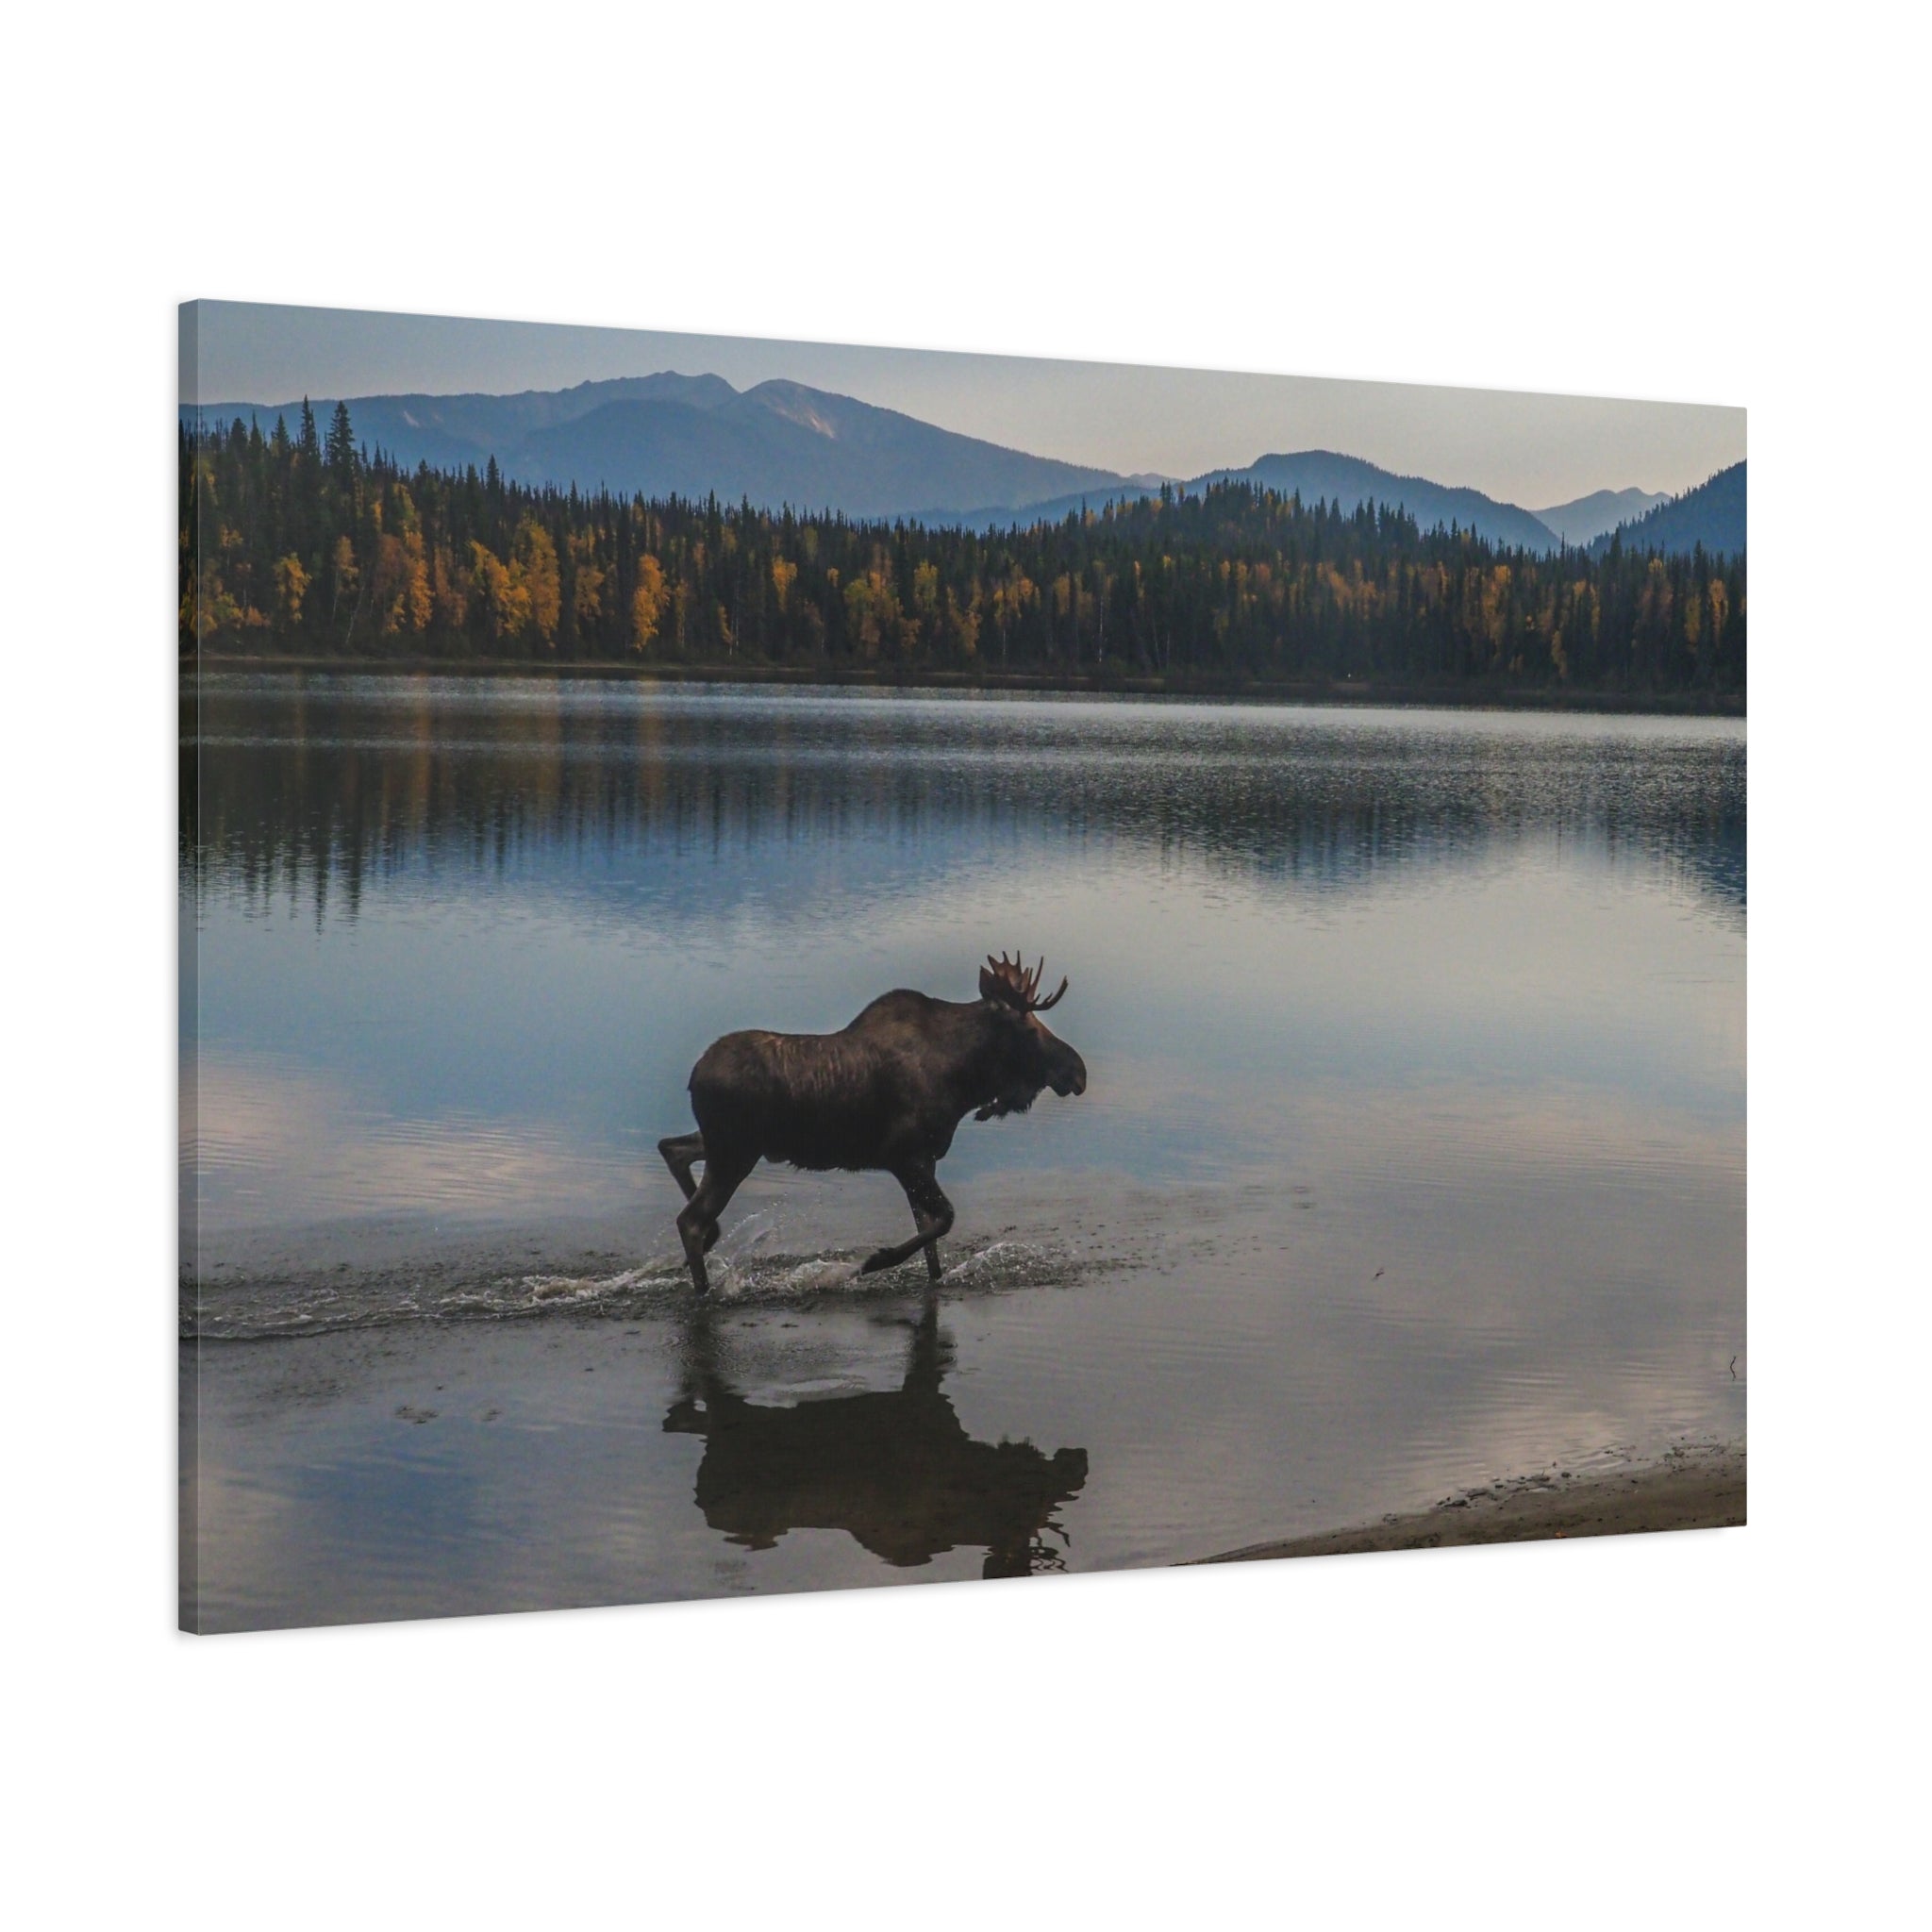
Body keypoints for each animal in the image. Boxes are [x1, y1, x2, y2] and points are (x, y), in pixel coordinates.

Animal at [658, 953, 1088, 1292]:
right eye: (1029, 1028)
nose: (1078, 1072)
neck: (964, 1081)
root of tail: (694, 1077)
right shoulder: (903, 1156)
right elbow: (944, 1219)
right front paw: (872, 1262)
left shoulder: (925, 1161)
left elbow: (931, 1240)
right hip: (735, 1152)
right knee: (689, 1219)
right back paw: (704, 1287)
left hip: (727, 1145)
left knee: (672, 1149)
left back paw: (711, 1240)